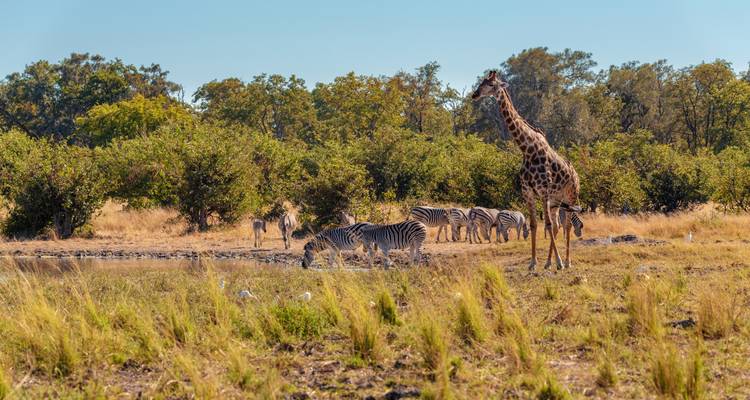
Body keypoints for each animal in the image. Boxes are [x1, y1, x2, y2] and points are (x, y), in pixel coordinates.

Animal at [472, 70, 581, 270]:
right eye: (481, 82)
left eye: (491, 84)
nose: (475, 95)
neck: (527, 149)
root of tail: (576, 175)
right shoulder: (528, 193)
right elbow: (534, 225)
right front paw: (533, 263)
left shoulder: (543, 192)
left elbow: (546, 224)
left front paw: (559, 262)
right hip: (556, 202)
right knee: (557, 225)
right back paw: (548, 263)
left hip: (570, 197)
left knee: (567, 225)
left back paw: (567, 262)